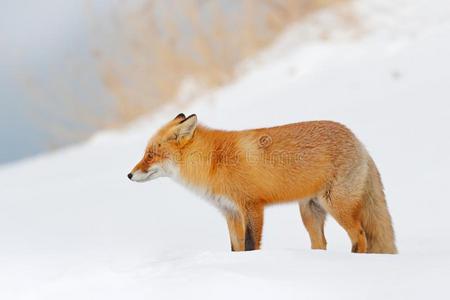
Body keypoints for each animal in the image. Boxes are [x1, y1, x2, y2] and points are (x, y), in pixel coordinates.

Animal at [127, 113, 398, 254]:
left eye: (150, 155)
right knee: (321, 243)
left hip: (337, 205)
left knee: (360, 235)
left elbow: (250, 245)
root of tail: (358, 141)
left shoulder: (252, 207)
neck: (213, 162)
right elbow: (235, 248)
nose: (129, 175)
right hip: (309, 212)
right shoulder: (230, 212)